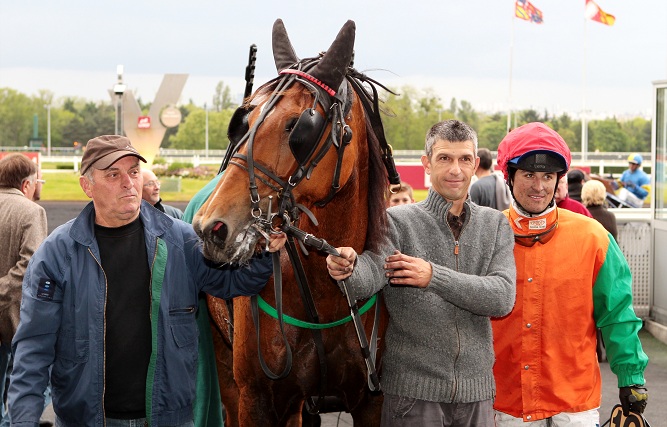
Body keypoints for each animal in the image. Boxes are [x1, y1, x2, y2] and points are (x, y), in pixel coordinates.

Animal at [190, 20, 400, 427]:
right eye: (244, 119)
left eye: (298, 126)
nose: (212, 227)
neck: (327, 293)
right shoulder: (257, 399)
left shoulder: (373, 401)